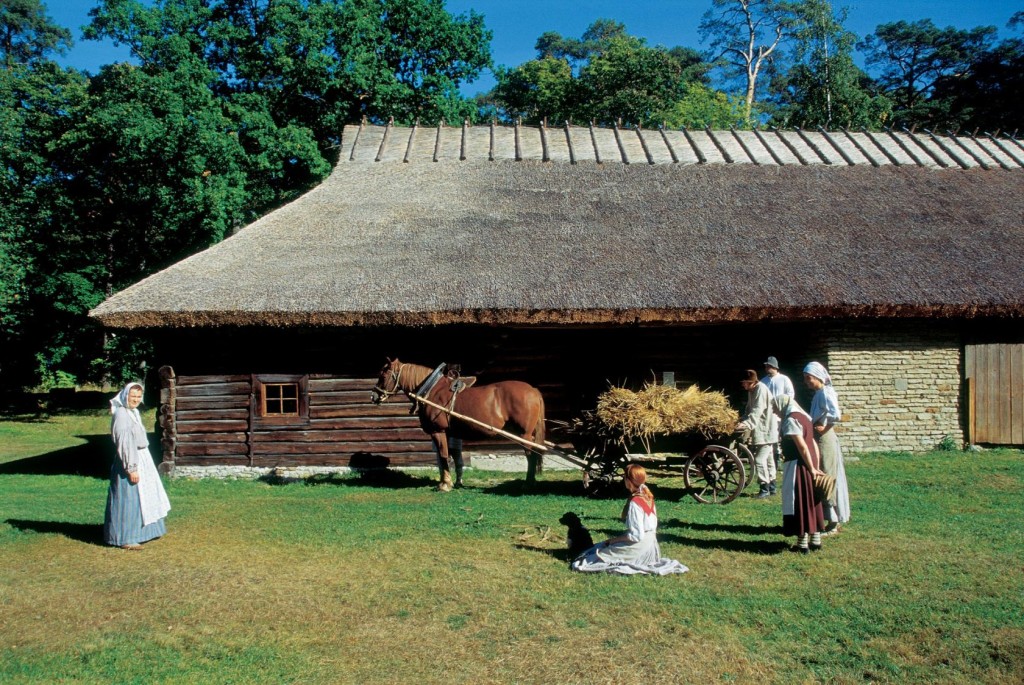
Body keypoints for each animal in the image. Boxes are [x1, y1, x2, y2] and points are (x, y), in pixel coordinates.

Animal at [368, 358, 544, 491]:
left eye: (383, 375)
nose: (374, 396)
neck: (431, 391)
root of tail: (533, 390)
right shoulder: (448, 433)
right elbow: (448, 456)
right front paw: (449, 482)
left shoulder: (438, 431)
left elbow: (443, 456)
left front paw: (445, 484)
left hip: (524, 435)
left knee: (531, 456)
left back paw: (528, 484)